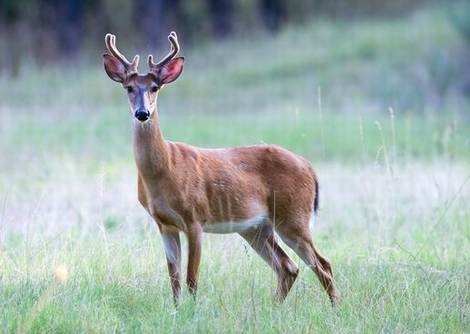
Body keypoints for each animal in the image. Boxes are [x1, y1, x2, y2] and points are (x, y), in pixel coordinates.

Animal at [103, 31, 338, 306]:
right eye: (129, 88)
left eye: (154, 87)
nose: (142, 113)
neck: (164, 171)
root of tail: (310, 168)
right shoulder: (164, 224)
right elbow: (174, 280)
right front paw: (176, 309)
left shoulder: (195, 217)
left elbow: (191, 279)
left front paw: (193, 310)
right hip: (255, 228)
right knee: (288, 267)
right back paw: (275, 307)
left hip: (293, 216)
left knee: (322, 265)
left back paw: (335, 308)